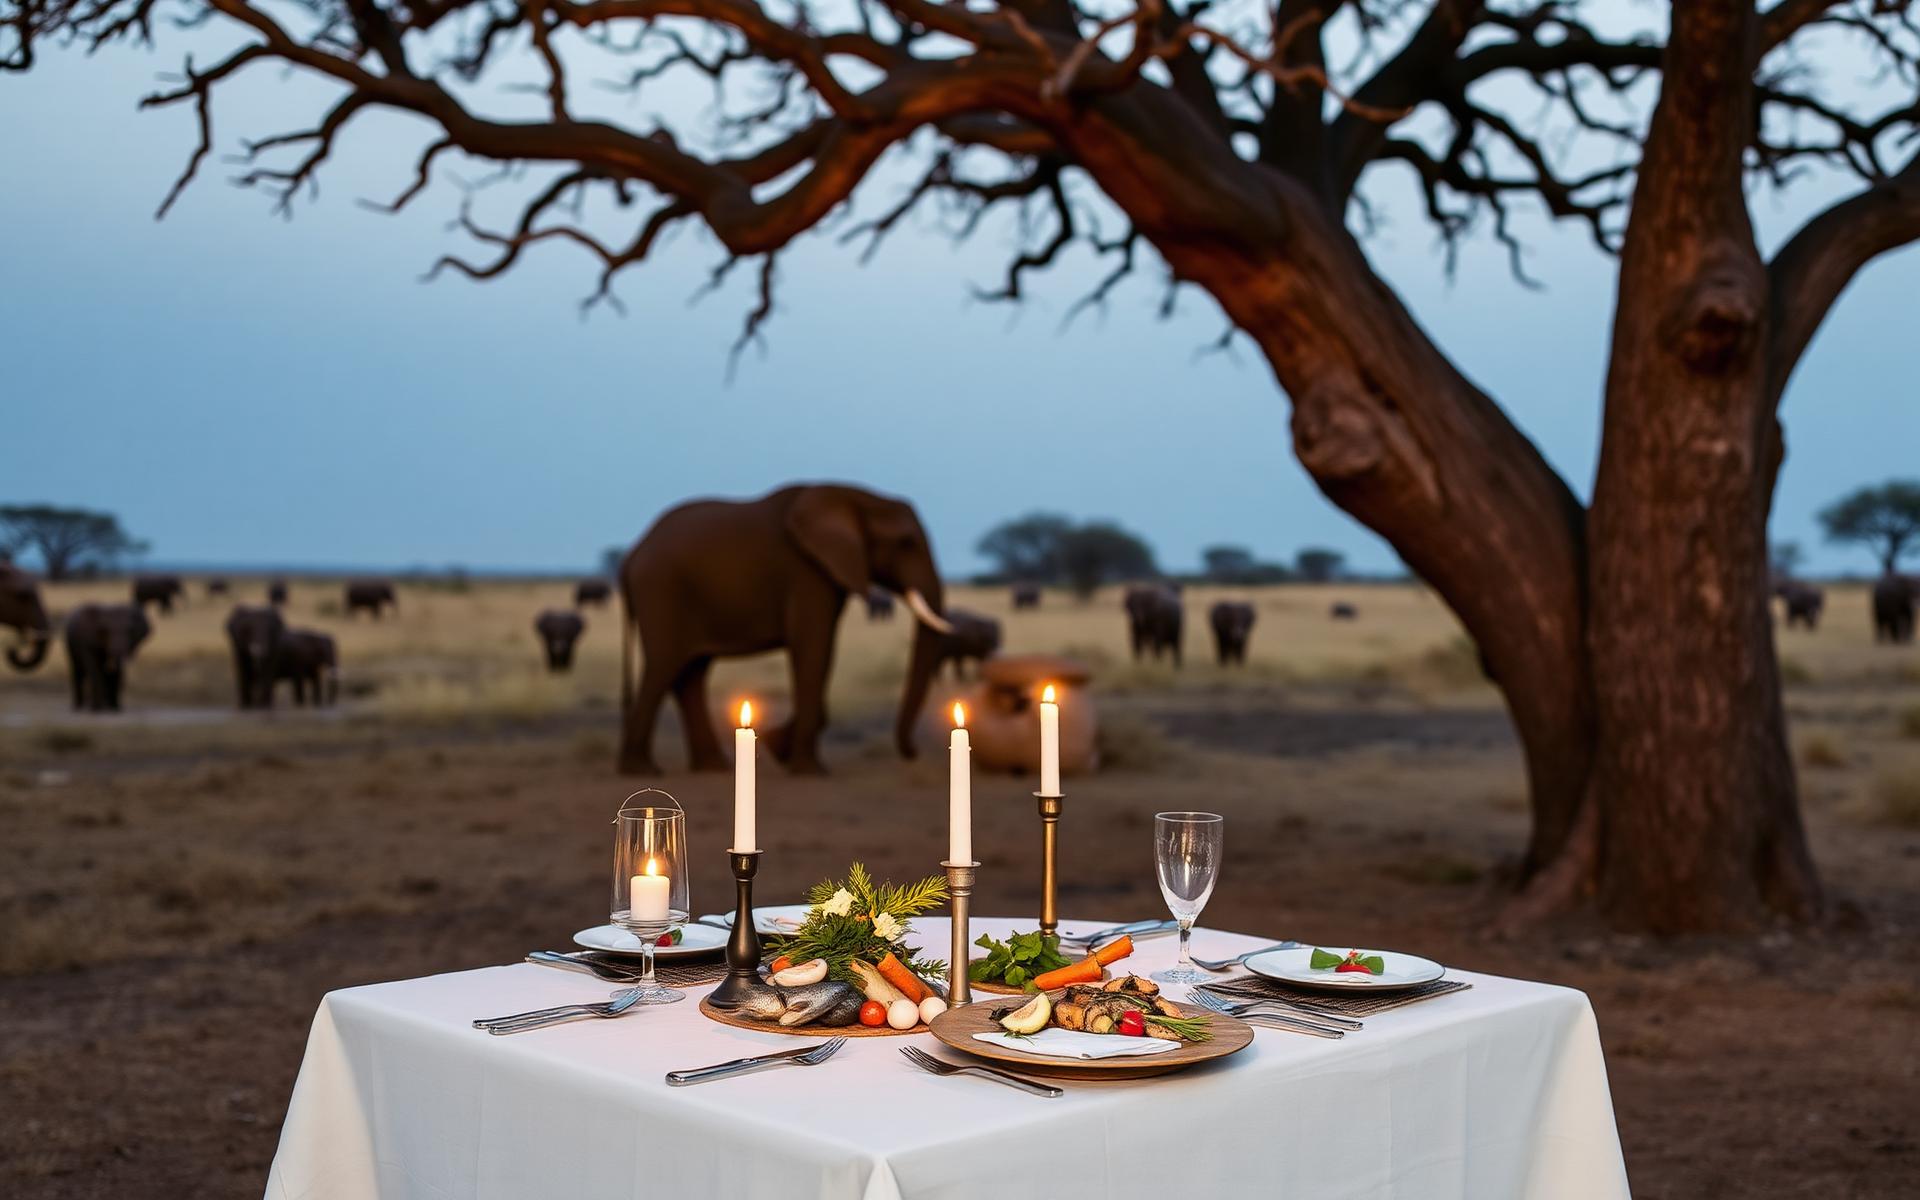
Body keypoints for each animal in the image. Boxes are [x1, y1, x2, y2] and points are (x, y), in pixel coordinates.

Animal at [616, 483, 954, 775]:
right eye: (906, 543)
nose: (912, 753)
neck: (852, 494)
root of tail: (632, 554)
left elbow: (820, 654)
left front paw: (776, 746)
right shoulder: (806, 571)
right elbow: (815, 651)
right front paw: (808, 770)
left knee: (691, 674)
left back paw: (713, 767)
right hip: (661, 591)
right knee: (663, 667)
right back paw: (641, 770)